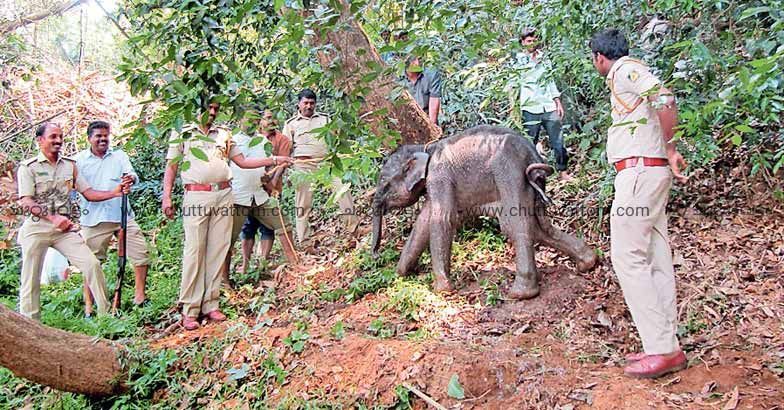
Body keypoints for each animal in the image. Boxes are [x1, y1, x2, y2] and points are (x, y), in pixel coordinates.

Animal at [370, 125, 597, 299]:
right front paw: (400, 274)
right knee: (539, 225)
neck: (425, 148)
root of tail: (533, 154)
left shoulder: (439, 176)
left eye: (385, 185)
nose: (375, 253)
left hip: (509, 172)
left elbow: (442, 220)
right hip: (528, 182)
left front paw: (442, 291)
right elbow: (423, 222)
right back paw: (588, 263)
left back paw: (520, 294)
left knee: (515, 224)